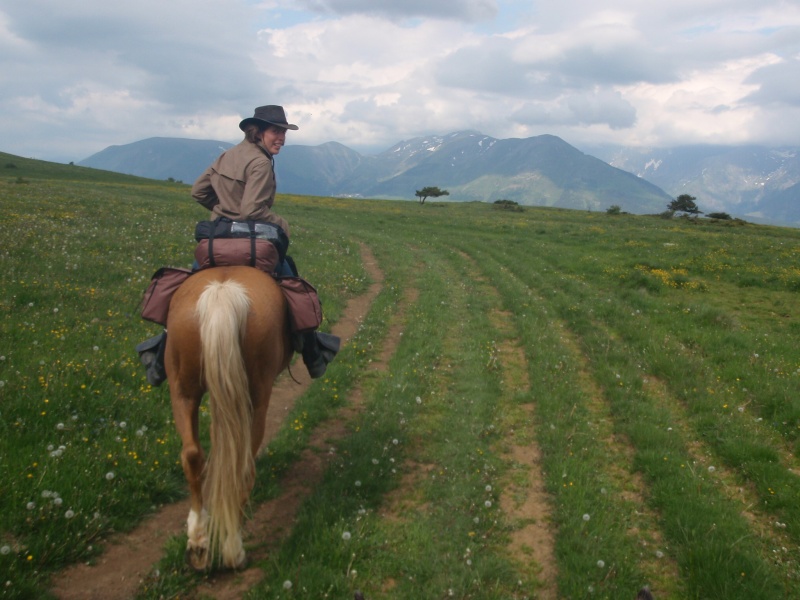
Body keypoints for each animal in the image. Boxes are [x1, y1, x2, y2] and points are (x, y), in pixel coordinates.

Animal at [164, 264, 292, 568]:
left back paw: (198, 541)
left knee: (192, 455)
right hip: (255, 400)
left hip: (182, 391)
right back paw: (233, 549)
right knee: (242, 468)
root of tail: (222, 295)